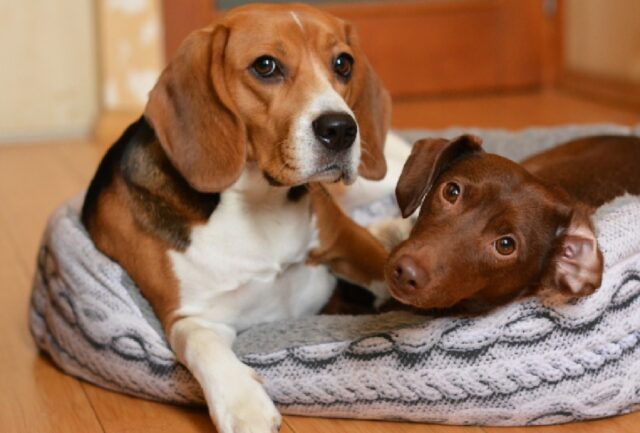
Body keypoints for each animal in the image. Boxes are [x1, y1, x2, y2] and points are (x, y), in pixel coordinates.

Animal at [80, 4, 400, 432]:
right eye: (265, 66)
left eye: (343, 64)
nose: (341, 129)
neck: (259, 200)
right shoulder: (188, 315)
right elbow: (203, 345)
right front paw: (244, 405)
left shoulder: (348, 240)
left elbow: (391, 263)